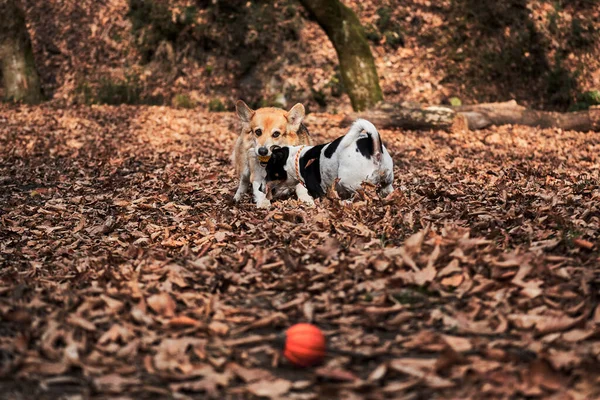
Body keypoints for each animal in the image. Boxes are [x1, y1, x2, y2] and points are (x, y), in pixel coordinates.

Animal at [266, 119, 394, 205]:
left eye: (268, 170)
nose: (263, 188)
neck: (296, 160)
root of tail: (374, 148)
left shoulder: (318, 191)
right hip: (387, 183)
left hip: (349, 181)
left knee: (360, 195)